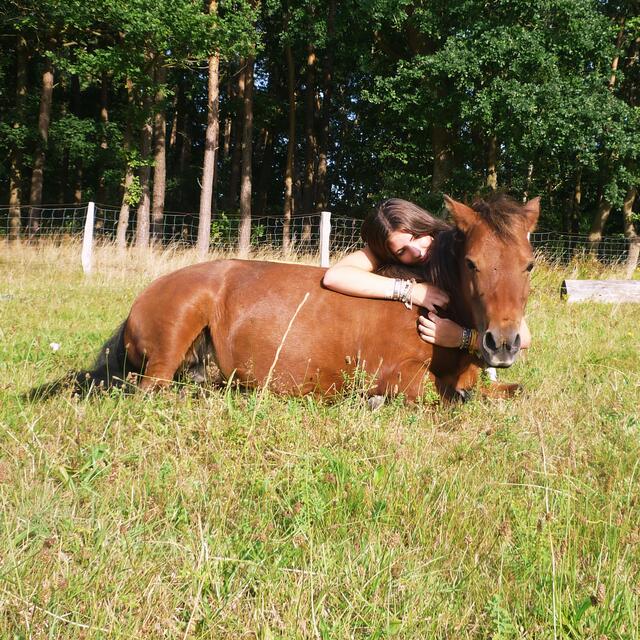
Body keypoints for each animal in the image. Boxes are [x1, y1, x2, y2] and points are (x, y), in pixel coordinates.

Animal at [31, 194, 539, 402]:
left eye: (529, 264)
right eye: (471, 263)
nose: (503, 343)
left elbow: (506, 392)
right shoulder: (396, 377)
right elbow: (450, 397)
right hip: (171, 342)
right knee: (148, 390)